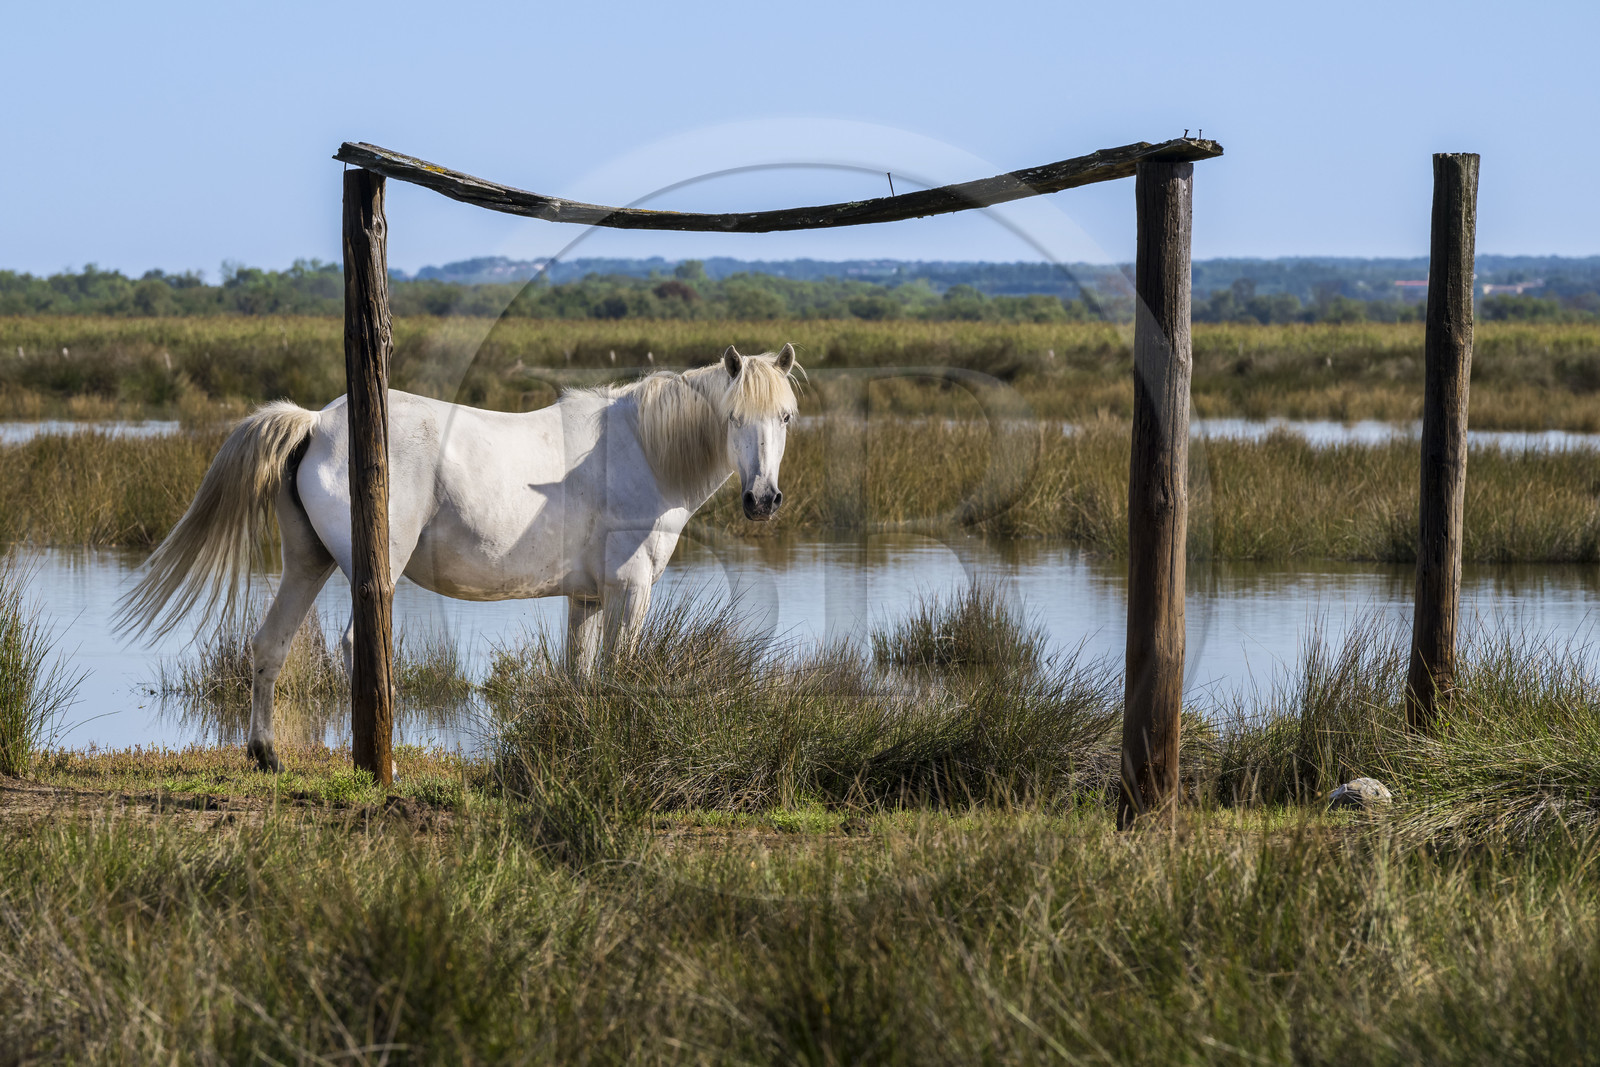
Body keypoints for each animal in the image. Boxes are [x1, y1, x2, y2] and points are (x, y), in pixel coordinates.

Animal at [115, 344, 800, 771]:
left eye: (787, 417)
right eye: (734, 417)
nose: (763, 500)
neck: (641, 449)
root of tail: (316, 423)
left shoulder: (586, 598)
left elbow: (581, 676)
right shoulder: (629, 591)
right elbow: (619, 672)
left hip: (306, 563)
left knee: (270, 645)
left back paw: (266, 755)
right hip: (374, 570)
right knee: (354, 647)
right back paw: (380, 756)